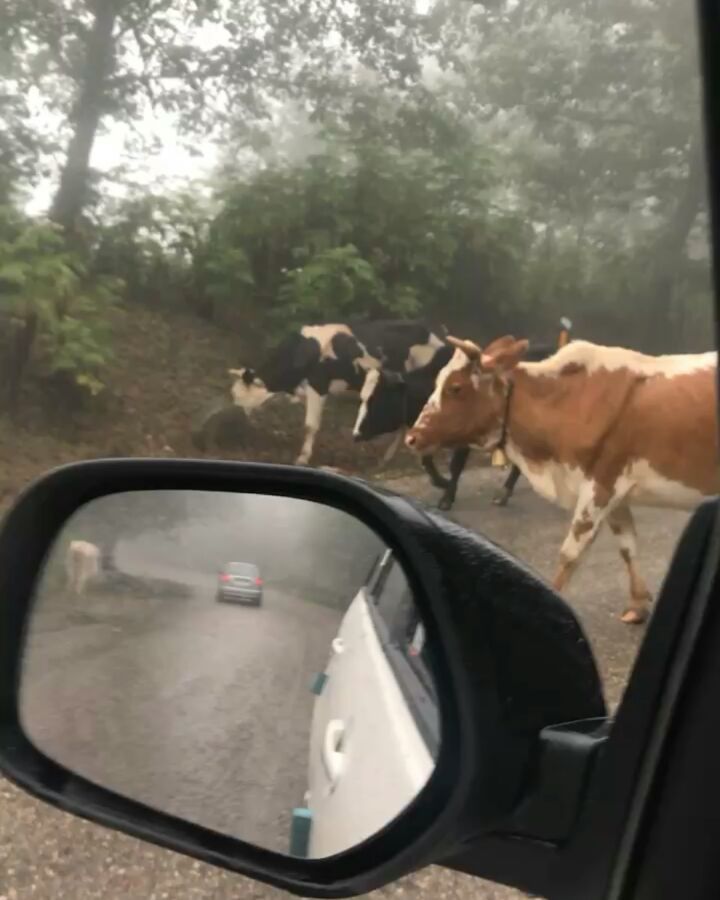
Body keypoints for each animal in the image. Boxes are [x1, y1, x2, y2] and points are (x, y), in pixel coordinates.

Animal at [229, 320, 444, 464]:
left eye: (239, 397)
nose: (235, 420)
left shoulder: (318, 386)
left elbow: (310, 425)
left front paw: (303, 458)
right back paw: (388, 458)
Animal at [408, 334, 716, 624]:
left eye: (455, 388)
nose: (412, 437)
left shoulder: (600, 486)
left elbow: (570, 554)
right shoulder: (615, 493)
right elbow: (627, 545)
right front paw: (638, 604)